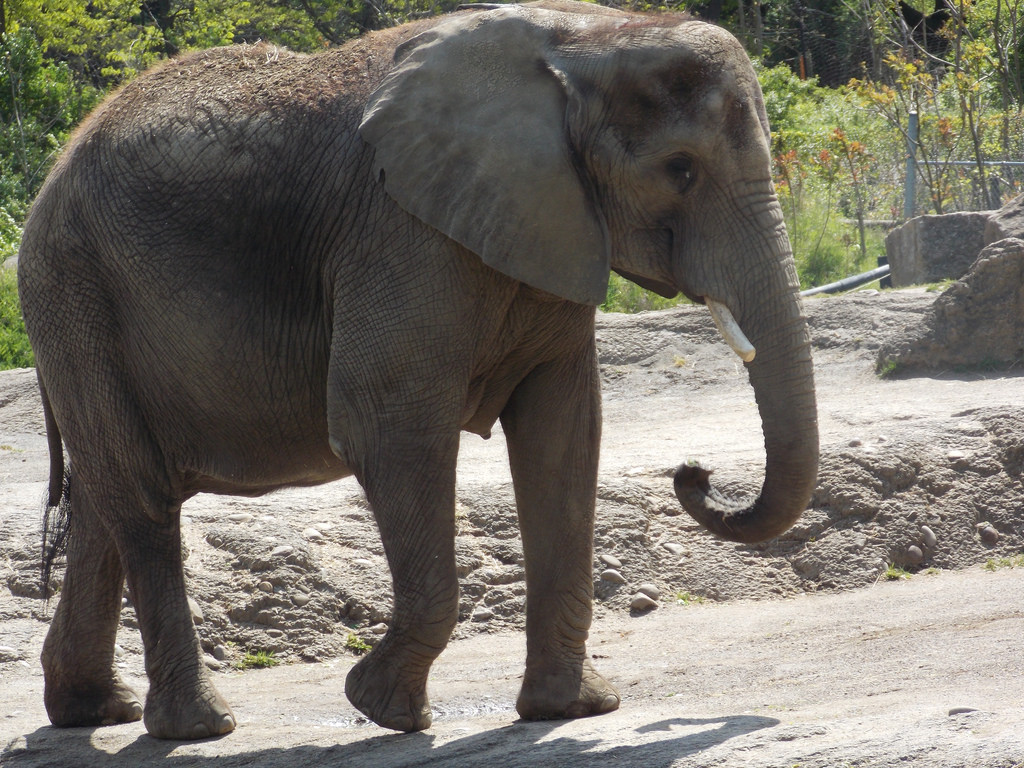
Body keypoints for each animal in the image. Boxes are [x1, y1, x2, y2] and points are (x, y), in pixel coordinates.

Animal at [18, 0, 815, 745]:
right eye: (681, 169)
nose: (694, 473)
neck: (588, 35)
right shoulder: (399, 231)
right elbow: (389, 426)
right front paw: (382, 708)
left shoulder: (549, 226)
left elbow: (562, 436)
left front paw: (574, 711)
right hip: (73, 292)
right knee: (143, 502)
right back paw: (199, 727)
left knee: (105, 503)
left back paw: (96, 709)